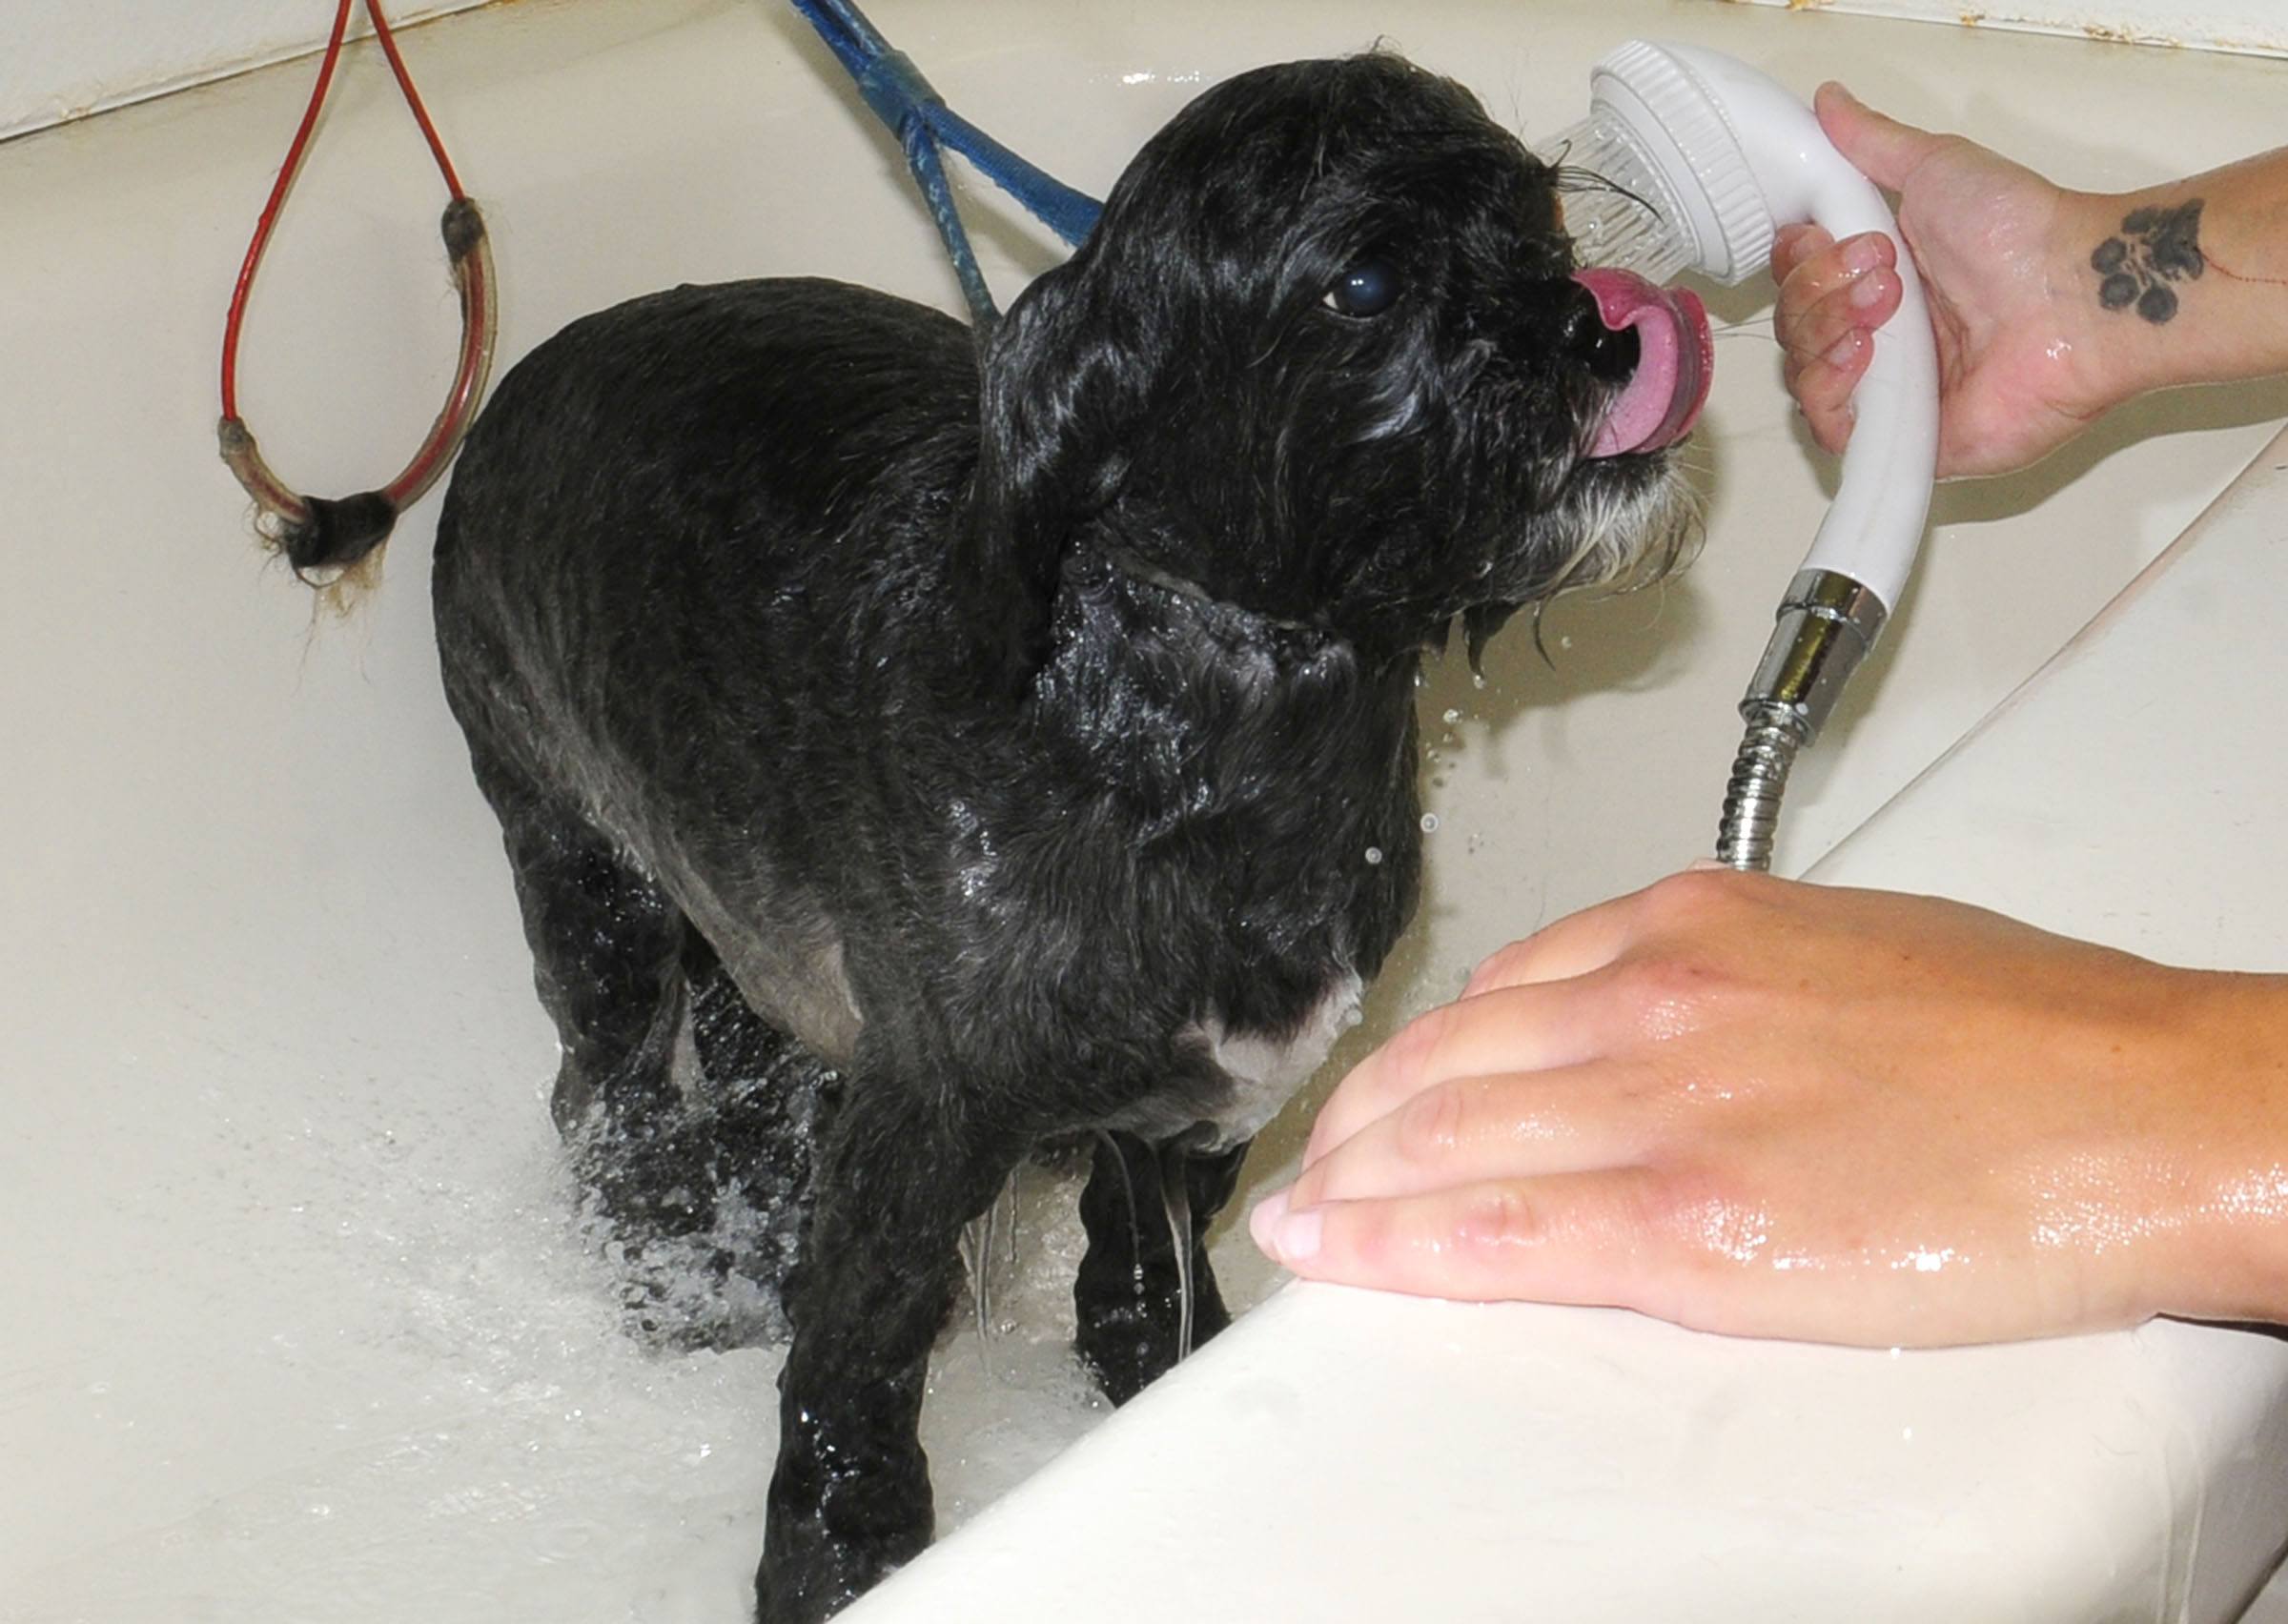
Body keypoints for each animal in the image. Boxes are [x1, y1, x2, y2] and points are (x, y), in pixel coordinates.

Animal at [402, 51, 1702, 1624]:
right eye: (1369, 281)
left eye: (1537, 220)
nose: (1601, 326)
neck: (1176, 742)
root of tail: (509, 389)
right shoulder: (925, 1122)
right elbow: (854, 1368)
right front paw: (840, 1567)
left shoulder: (1214, 1099)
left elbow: (1140, 1264)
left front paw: (1157, 1384)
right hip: (581, 858)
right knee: (602, 1092)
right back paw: (672, 1258)